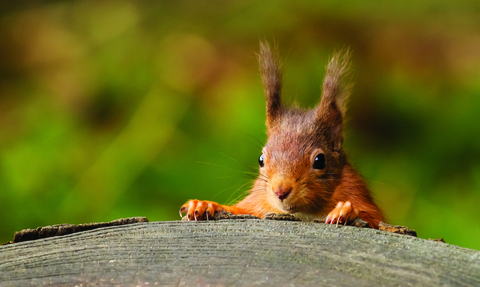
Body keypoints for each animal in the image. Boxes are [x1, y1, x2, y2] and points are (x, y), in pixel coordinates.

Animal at [181, 41, 386, 228]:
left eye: (320, 160)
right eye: (261, 159)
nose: (280, 191)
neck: (303, 212)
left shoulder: (354, 189)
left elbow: (373, 218)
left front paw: (345, 210)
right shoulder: (256, 203)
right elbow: (237, 209)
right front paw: (204, 204)